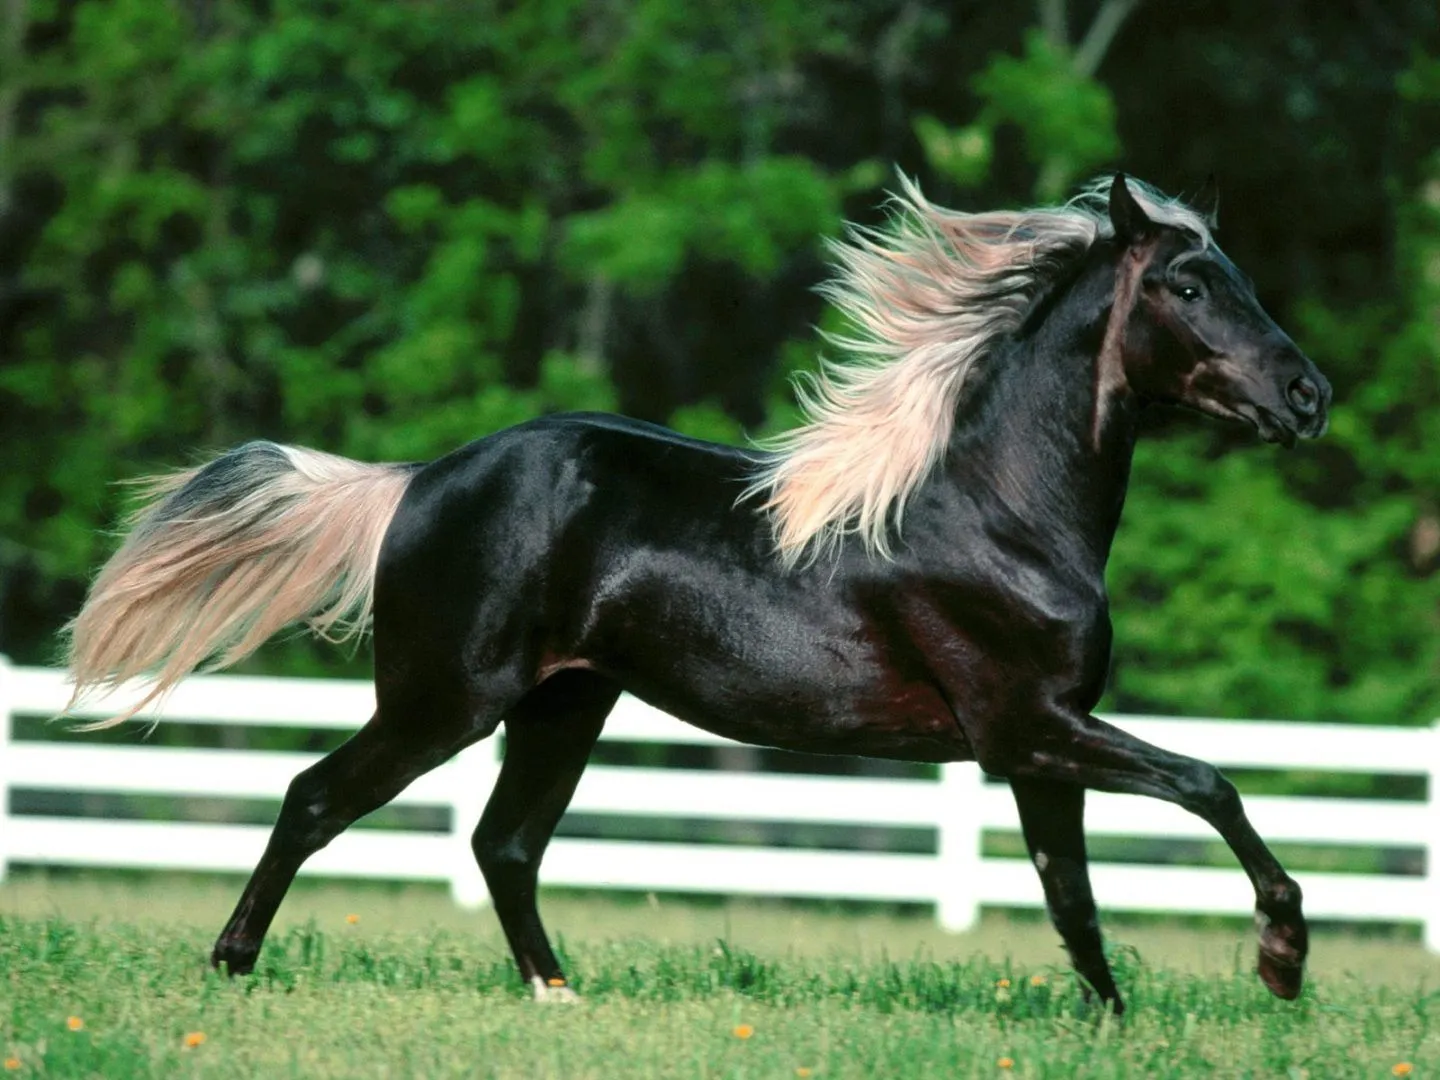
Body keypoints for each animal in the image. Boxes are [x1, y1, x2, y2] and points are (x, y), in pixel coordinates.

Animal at [63, 174, 1331, 1015]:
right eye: (1189, 283)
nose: (1309, 397)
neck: (1000, 511)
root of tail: (418, 480)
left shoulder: (1038, 740)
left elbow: (1071, 894)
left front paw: (1112, 1022)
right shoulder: (1027, 724)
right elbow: (1209, 785)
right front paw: (1281, 961)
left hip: (563, 705)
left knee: (503, 844)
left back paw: (559, 996)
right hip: (445, 701)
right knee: (318, 798)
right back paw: (231, 968)